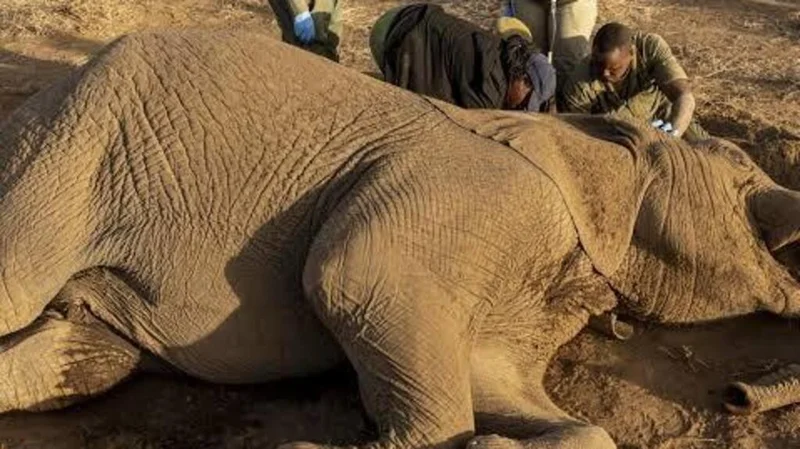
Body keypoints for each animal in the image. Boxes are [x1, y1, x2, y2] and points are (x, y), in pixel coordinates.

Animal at [0, 28, 799, 449]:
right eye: (739, 173)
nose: (734, 395)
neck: (588, 140)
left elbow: (522, 396)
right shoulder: (486, 197)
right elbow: (351, 277)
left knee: (83, 353)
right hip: (66, 148)